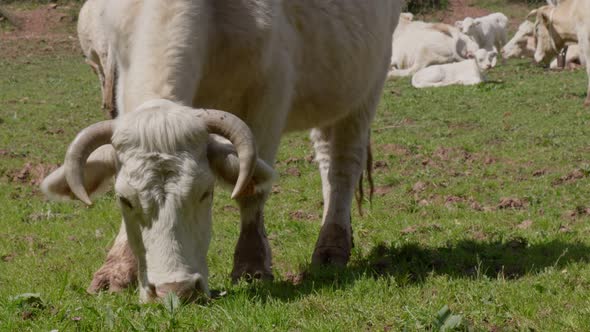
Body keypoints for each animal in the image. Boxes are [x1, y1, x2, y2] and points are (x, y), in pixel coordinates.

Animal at [39, 0, 404, 302]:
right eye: (124, 200)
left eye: (205, 193)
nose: (175, 290)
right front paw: (115, 270)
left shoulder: (269, 96)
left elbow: (251, 188)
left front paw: (252, 266)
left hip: (365, 87)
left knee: (341, 165)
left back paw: (332, 247)